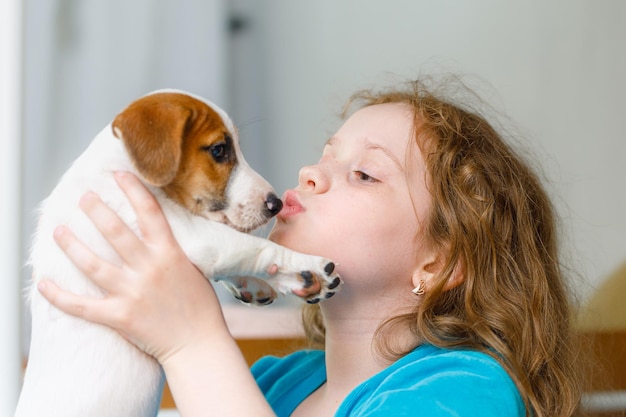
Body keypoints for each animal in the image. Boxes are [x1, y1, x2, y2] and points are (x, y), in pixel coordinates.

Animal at [17, 90, 342, 416]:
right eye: (219, 150)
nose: (277, 204)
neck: (116, 170)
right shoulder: (191, 235)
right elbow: (254, 246)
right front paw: (308, 265)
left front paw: (273, 283)